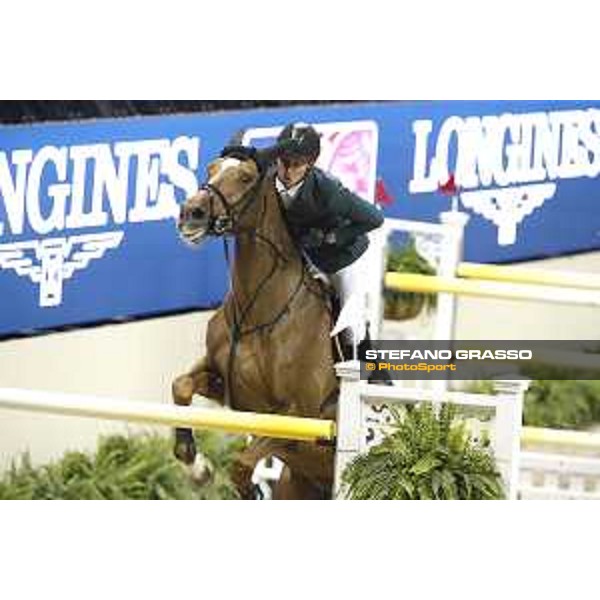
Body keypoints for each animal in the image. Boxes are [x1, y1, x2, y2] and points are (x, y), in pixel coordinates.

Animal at [172, 152, 338, 500]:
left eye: (246, 178)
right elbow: (181, 386)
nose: (191, 213)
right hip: (298, 486)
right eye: (211, 169)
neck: (257, 313)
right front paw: (198, 468)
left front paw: (250, 489)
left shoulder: (298, 418)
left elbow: (242, 464)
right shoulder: (222, 381)